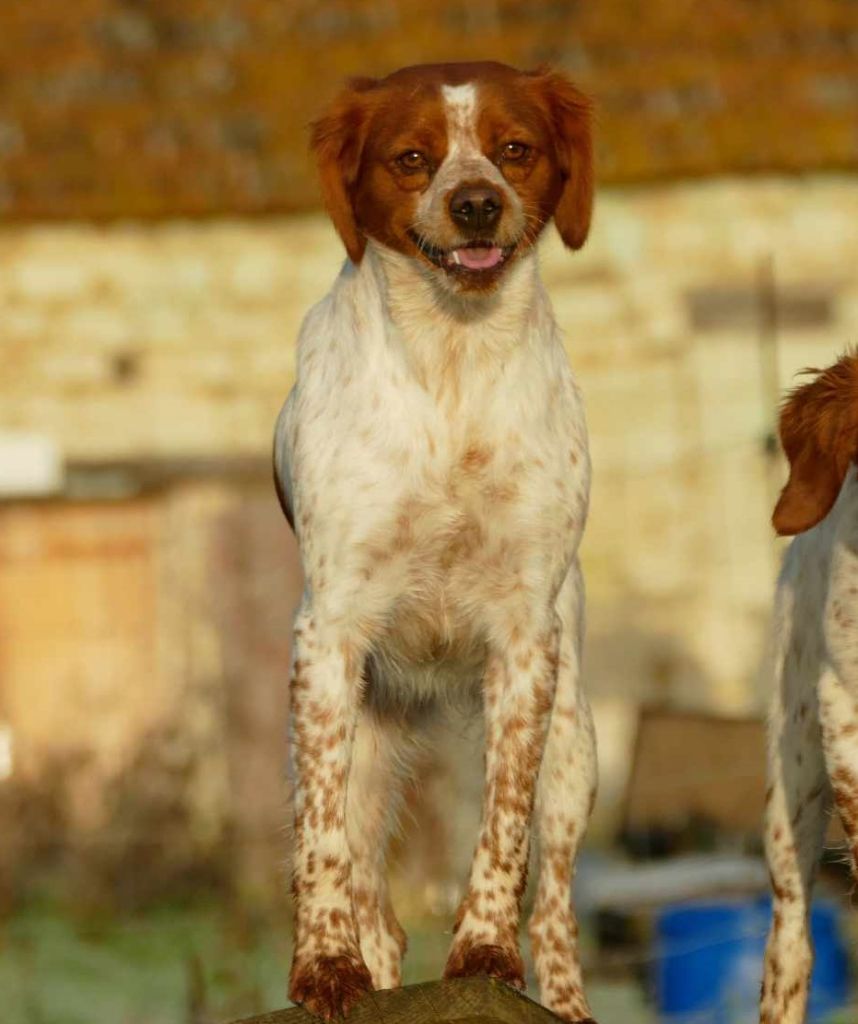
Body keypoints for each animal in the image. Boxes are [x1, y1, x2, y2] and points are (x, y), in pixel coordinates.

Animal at [274, 64, 597, 1024]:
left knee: (555, 901)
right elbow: (323, 856)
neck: (454, 353)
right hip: (359, 749)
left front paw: (484, 954)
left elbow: (503, 833)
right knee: (368, 894)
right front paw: (324, 970)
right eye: (413, 158)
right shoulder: (329, 637)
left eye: (514, 148)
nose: (477, 204)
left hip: (576, 750)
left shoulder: (527, 641)